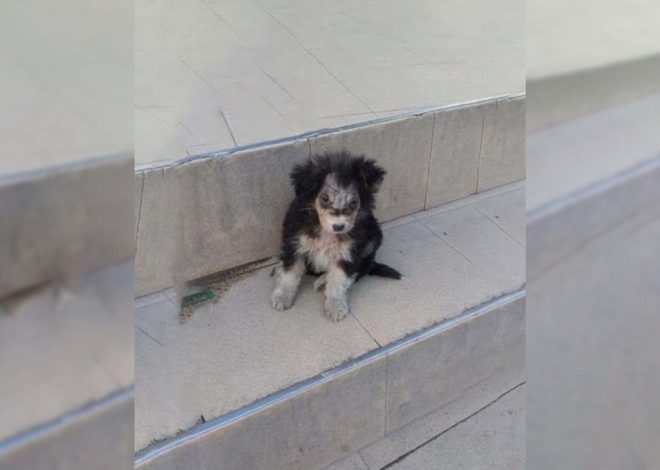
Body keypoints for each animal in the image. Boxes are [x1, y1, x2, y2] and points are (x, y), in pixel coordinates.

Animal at [270, 152, 402, 322]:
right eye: (325, 198)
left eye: (353, 202)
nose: (339, 227)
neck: (325, 231)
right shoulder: (294, 243)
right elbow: (290, 273)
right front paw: (282, 297)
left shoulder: (348, 253)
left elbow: (338, 280)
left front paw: (335, 306)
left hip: (373, 237)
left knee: (361, 270)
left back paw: (322, 280)